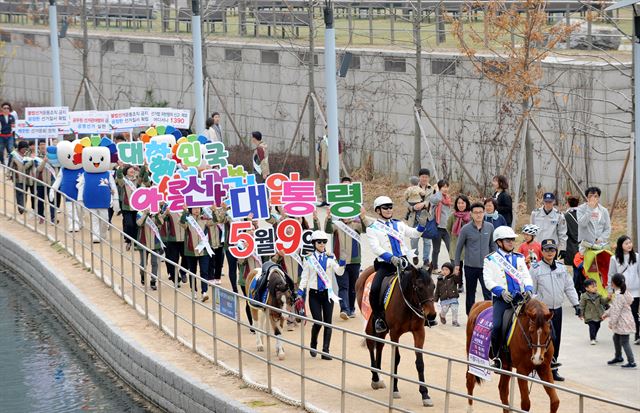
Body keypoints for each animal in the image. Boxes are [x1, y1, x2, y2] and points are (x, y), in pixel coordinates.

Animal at [356, 260, 440, 406]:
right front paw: (395, 389)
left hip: (383, 328)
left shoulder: (419, 332)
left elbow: (420, 362)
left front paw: (425, 394)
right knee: (371, 344)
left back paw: (379, 375)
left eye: (433, 286)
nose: (431, 315)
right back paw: (375, 378)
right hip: (370, 322)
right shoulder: (395, 333)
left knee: (379, 345)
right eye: (419, 288)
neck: (407, 302)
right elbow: (396, 359)